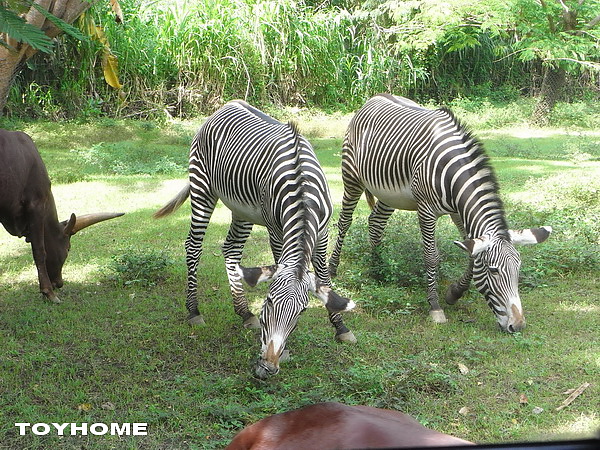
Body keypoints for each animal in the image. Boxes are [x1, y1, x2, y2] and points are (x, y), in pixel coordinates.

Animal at [155, 100, 356, 378]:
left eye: (302, 311)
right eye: (268, 302)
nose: (266, 367)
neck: (302, 192)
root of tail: (227, 106)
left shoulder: (323, 232)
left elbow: (324, 279)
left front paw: (340, 327)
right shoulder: (276, 230)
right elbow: (280, 260)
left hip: (242, 209)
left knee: (231, 249)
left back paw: (243, 311)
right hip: (202, 188)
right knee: (193, 246)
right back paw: (194, 311)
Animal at [328, 95, 552, 332]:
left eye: (518, 269)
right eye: (493, 271)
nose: (517, 325)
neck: (453, 175)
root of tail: (375, 97)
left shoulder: (458, 212)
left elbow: (470, 252)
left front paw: (455, 293)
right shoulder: (426, 210)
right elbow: (431, 256)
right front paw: (435, 306)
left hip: (389, 193)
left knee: (376, 222)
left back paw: (378, 268)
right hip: (351, 177)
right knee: (345, 221)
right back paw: (333, 267)